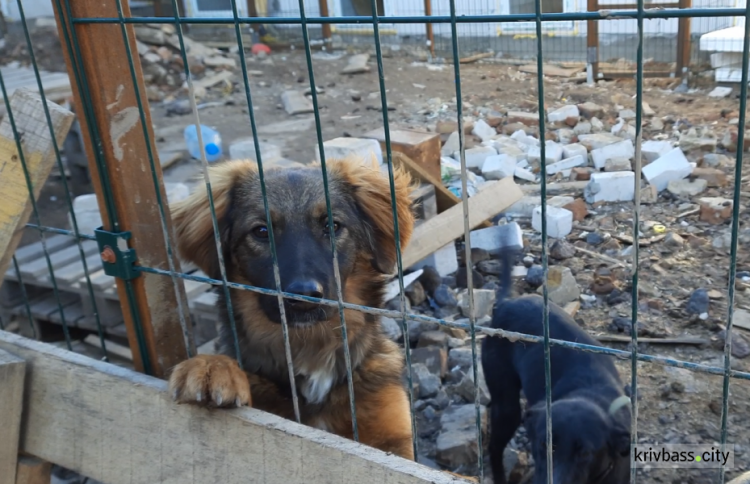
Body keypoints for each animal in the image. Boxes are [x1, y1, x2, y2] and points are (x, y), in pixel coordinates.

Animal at [167, 157, 418, 460]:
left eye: (332, 225)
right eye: (261, 231)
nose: (304, 296)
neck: (311, 345)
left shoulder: (393, 438)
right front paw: (210, 367)